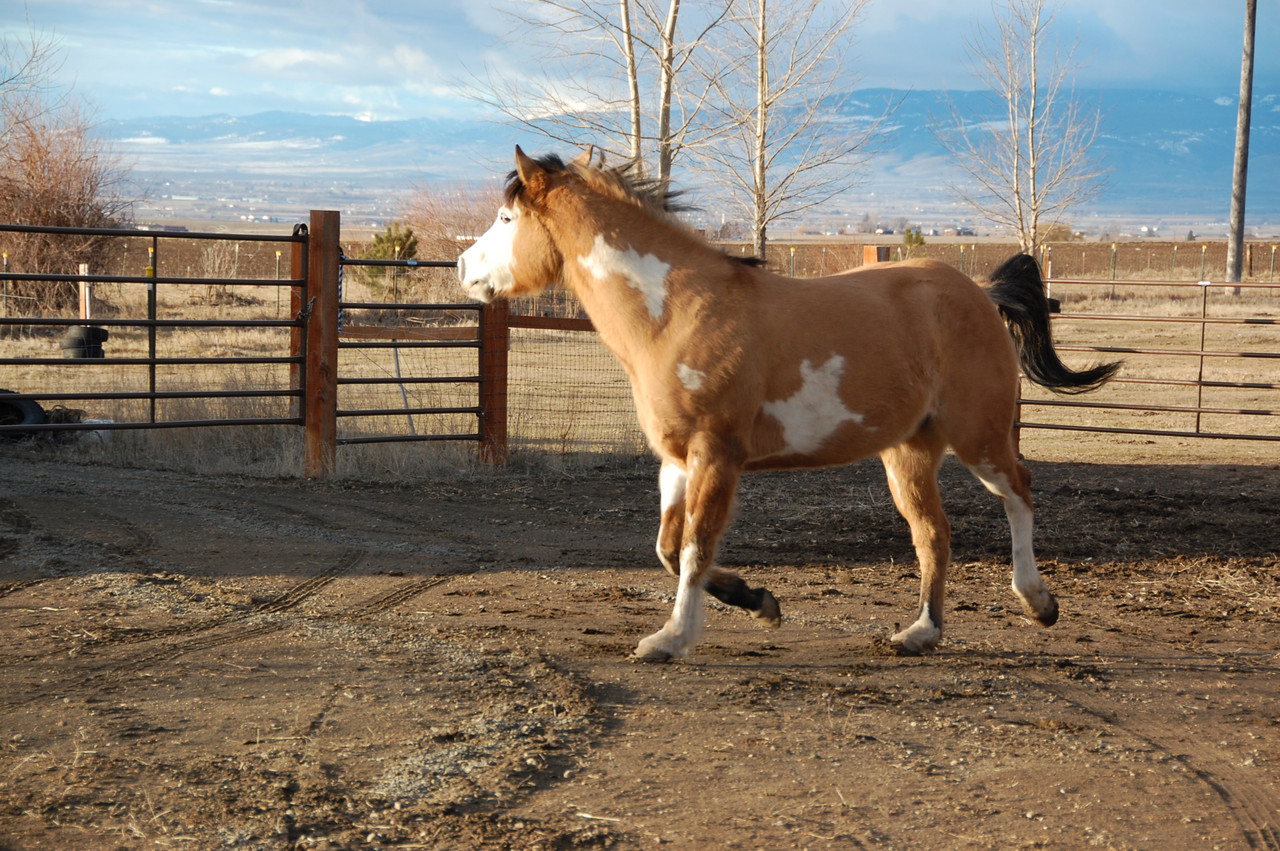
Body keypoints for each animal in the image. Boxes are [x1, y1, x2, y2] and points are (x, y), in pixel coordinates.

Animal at [458, 147, 1119, 661]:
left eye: (507, 216)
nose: (464, 269)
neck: (677, 312)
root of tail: (980, 293)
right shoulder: (675, 460)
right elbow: (668, 549)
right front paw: (759, 601)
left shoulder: (717, 455)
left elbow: (695, 547)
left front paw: (672, 639)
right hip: (908, 451)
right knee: (934, 533)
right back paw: (920, 633)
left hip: (978, 434)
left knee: (1019, 493)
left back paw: (1038, 602)